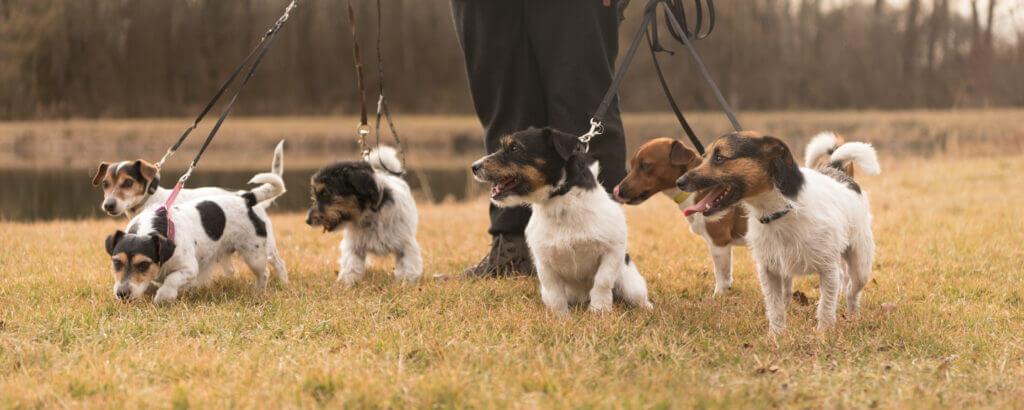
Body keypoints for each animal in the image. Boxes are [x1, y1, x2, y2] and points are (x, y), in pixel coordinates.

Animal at [92, 141, 286, 278]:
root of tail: (247, 197)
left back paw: (282, 283)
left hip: (264, 247)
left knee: (279, 264)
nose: (108, 205)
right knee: (231, 270)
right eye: (105, 184)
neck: (152, 199)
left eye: (127, 182)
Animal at [103, 171, 286, 303]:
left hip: (255, 254)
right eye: (117, 263)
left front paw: (164, 296)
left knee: (266, 272)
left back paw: (261, 292)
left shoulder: (189, 269)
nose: (122, 294)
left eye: (143, 265)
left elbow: (172, 279)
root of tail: (246, 198)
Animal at [303, 146, 419, 284]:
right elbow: (351, 266)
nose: (307, 220)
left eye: (325, 193)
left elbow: (408, 265)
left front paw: (406, 282)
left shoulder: (406, 244)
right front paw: (348, 283)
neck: (370, 216)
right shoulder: (354, 247)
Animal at [468, 127, 651, 313]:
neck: (560, 202)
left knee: (637, 297)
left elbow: (602, 281)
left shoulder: (612, 250)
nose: (474, 167)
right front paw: (560, 317)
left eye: (514, 148)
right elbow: (555, 294)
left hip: (631, 286)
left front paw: (599, 311)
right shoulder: (544, 263)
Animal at [675, 131, 884, 332]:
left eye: (719, 157)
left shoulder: (828, 269)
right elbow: (775, 308)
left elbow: (825, 307)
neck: (780, 212)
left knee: (851, 291)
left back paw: (853, 317)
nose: (679, 182)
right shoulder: (769, 271)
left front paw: (823, 335)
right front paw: (776, 336)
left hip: (860, 265)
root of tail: (836, 169)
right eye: (704, 156)